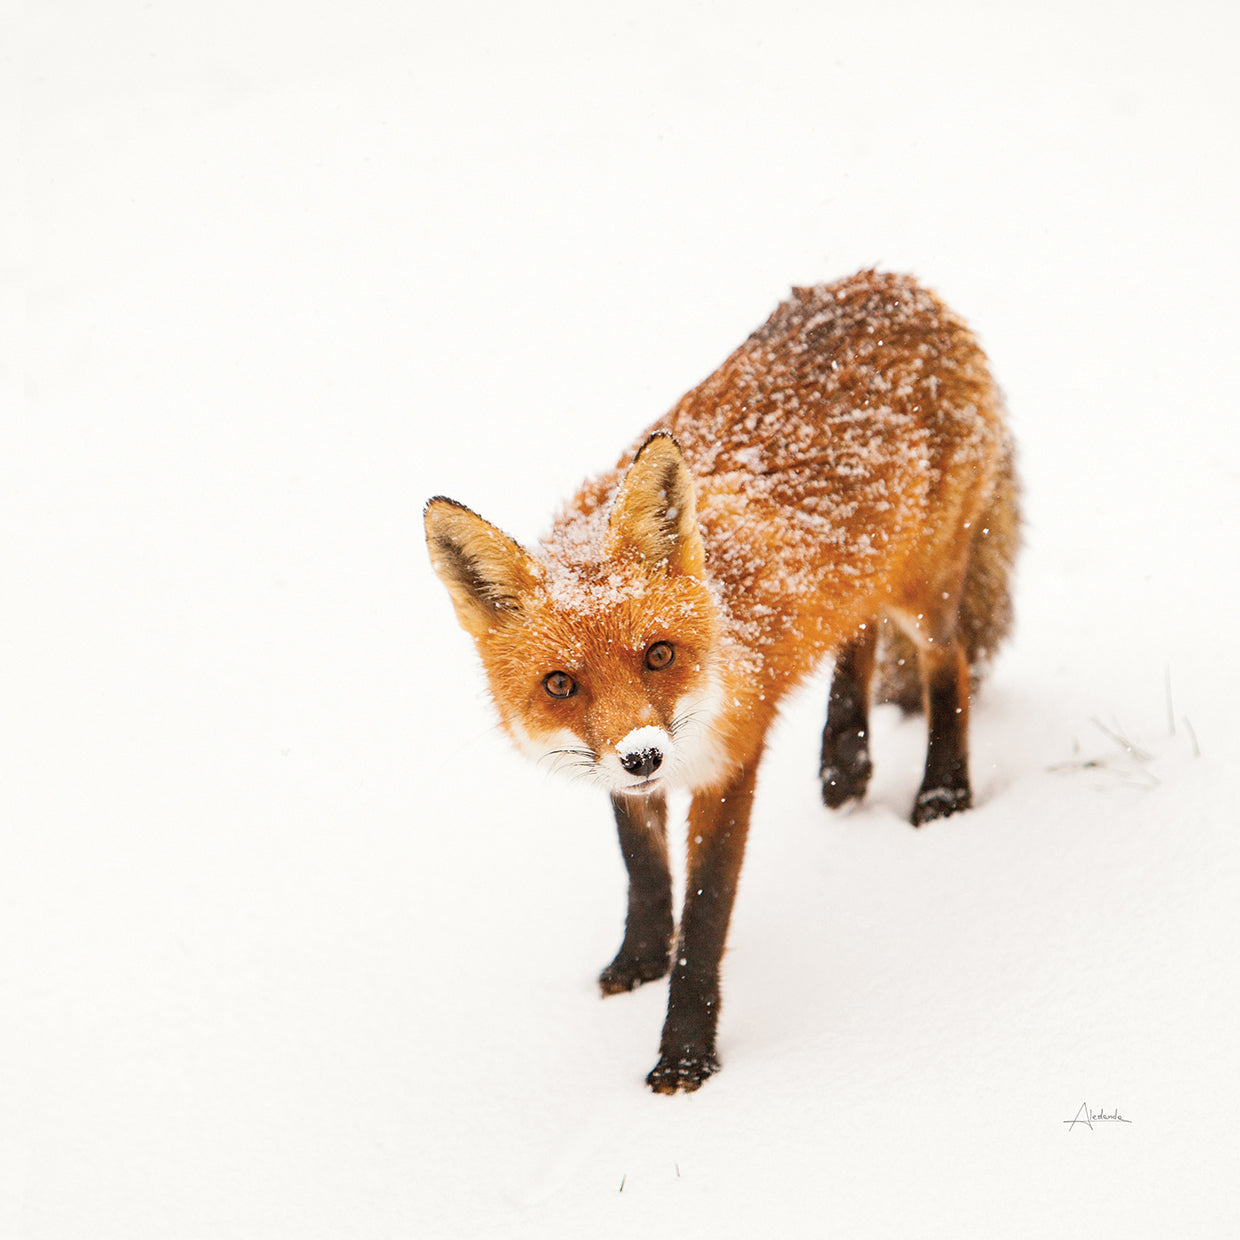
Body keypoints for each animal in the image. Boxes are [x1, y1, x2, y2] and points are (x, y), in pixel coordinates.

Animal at [424, 269, 1020, 1094]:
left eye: (658, 655)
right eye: (560, 685)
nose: (644, 756)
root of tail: (894, 282)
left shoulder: (732, 760)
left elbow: (704, 918)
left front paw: (685, 1055)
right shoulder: (623, 775)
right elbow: (643, 871)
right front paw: (639, 959)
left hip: (925, 590)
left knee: (947, 664)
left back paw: (942, 793)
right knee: (857, 631)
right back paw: (845, 761)